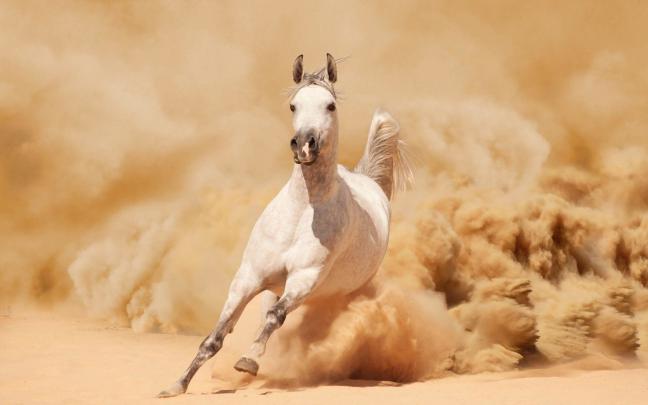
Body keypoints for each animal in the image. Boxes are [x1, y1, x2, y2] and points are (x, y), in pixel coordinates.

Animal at [158, 53, 412, 397]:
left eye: (330, 105)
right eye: (294, 105)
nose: (304, 144)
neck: (301, 214)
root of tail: (368, 180)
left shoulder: (304, 279)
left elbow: (275, 317)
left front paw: (248, 359)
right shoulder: (248, 278)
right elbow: (216, 336)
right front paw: (176, 385)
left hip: (338, 292)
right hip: (275, 287)